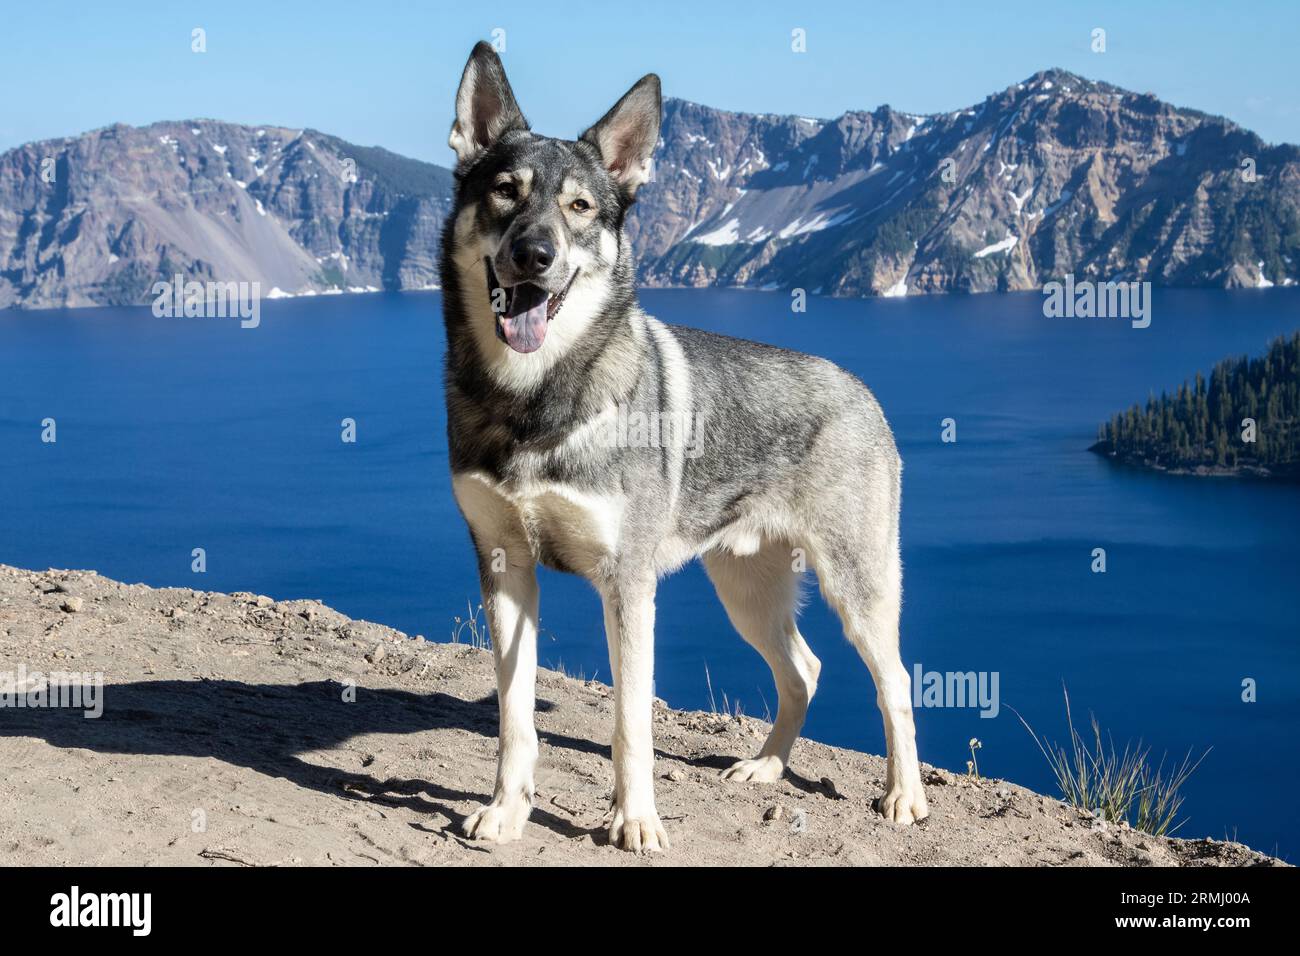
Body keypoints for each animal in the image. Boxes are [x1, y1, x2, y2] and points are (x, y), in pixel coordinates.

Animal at [441, 42, 930, 853]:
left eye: (580, 208)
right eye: (506, 192)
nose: (534, 255)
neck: (535, 399)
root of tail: (863, 390)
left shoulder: (627, 584)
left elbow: (630, 726)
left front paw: (635, 821)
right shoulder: (504, 567)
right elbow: (515, 719)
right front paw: (508, 810)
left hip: (855, 589)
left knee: (894, 681)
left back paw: (905, 795)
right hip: (745, 592)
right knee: (804, 669)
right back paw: (766, 768)